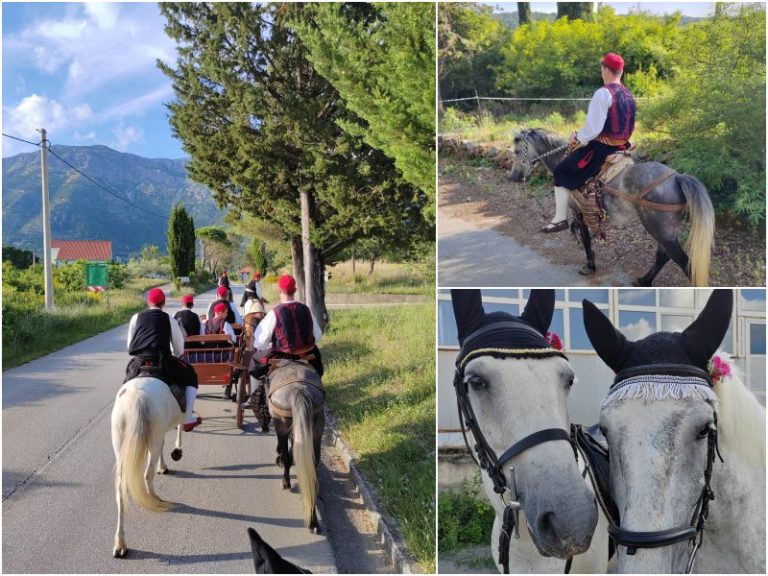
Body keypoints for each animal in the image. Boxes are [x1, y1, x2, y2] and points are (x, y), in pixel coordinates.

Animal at [110, 376, 185, 556]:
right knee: (147, 474)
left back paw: (120, 543)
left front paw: (163, 465)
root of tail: (136, 396)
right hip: (155, 433)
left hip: (119, 442)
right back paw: (154, 497)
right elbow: (180, 426)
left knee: (120, 491)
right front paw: (175, 452)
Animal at [510, 128, 712, 286]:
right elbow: (581, 235)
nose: (513, 177)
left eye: (517, 151)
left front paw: (589, 266)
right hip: (665, 231)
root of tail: (676, 177)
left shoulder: (578, 213)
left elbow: (585, 239)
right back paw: (644, 280)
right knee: (663, 256)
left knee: (683, 263)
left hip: (660, 230)